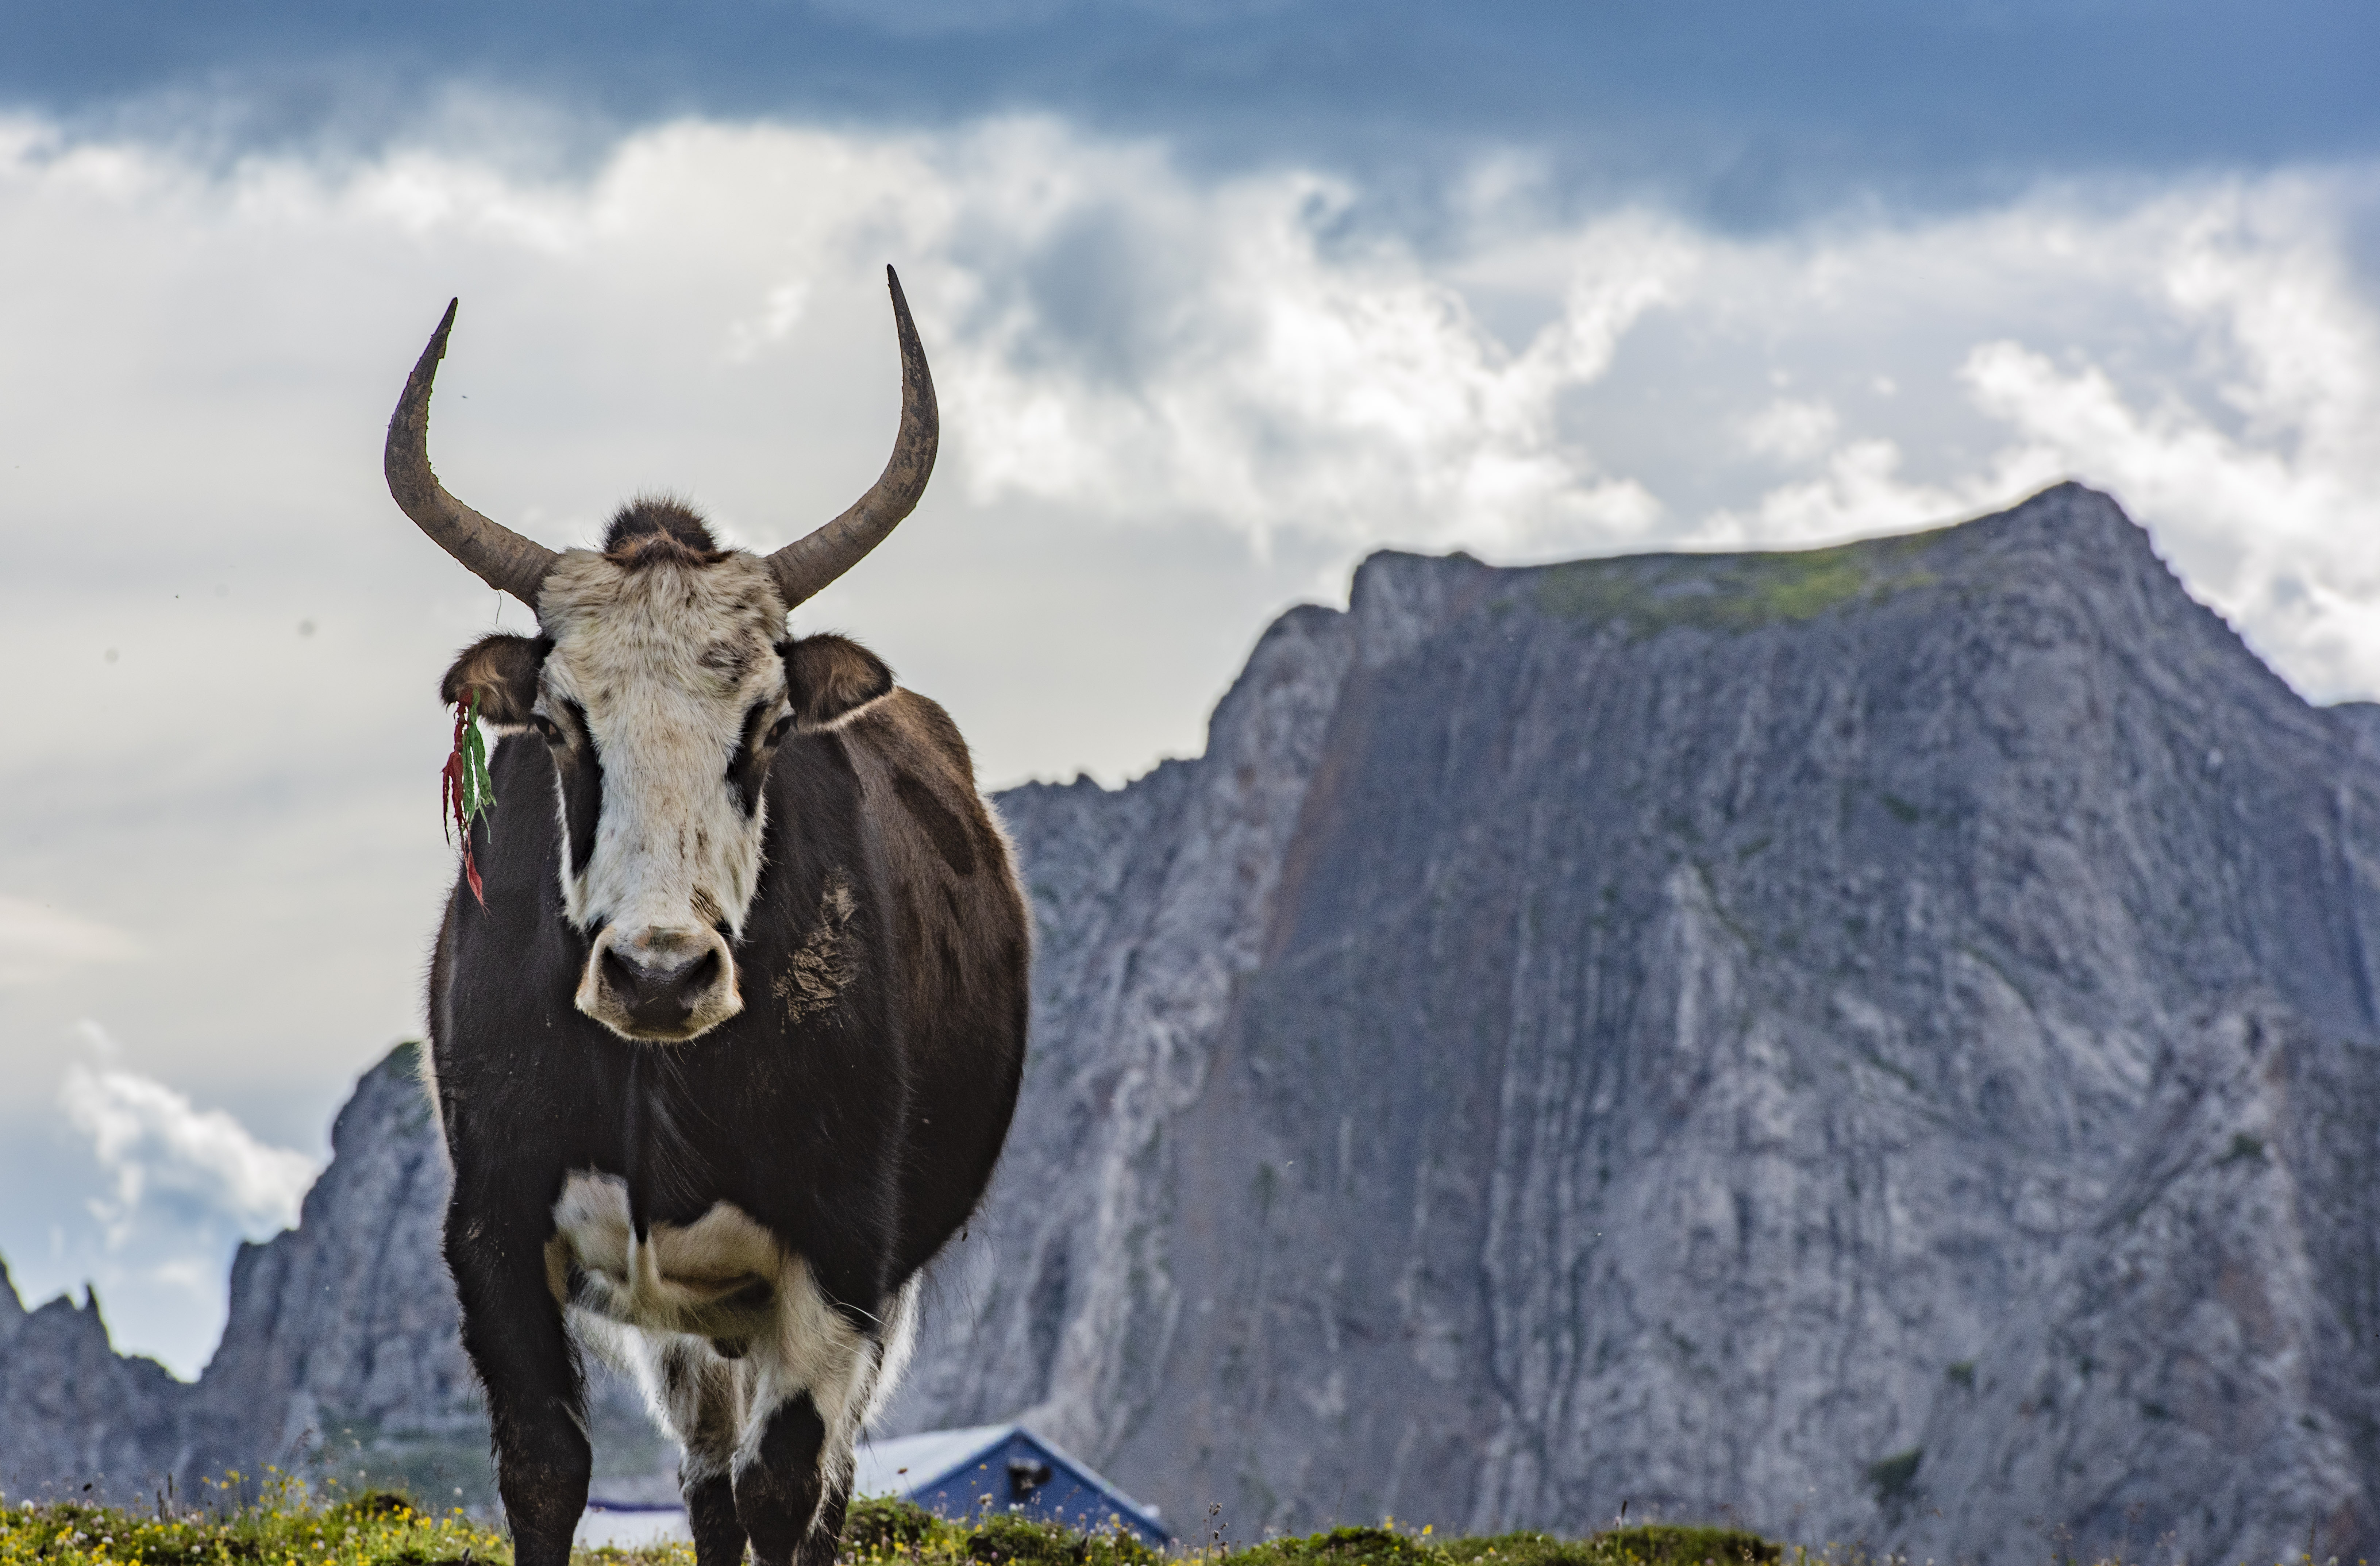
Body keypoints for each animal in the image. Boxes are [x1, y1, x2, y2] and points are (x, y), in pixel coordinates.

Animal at [385, 269, 1028, 1561]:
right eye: (561, 723)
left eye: (767, 724)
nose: (660, 974)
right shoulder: (492, 1234)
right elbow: (547, 1470)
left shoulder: (839, 1258)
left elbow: (789, 1487)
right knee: (706, 1479)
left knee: (804, 1484)